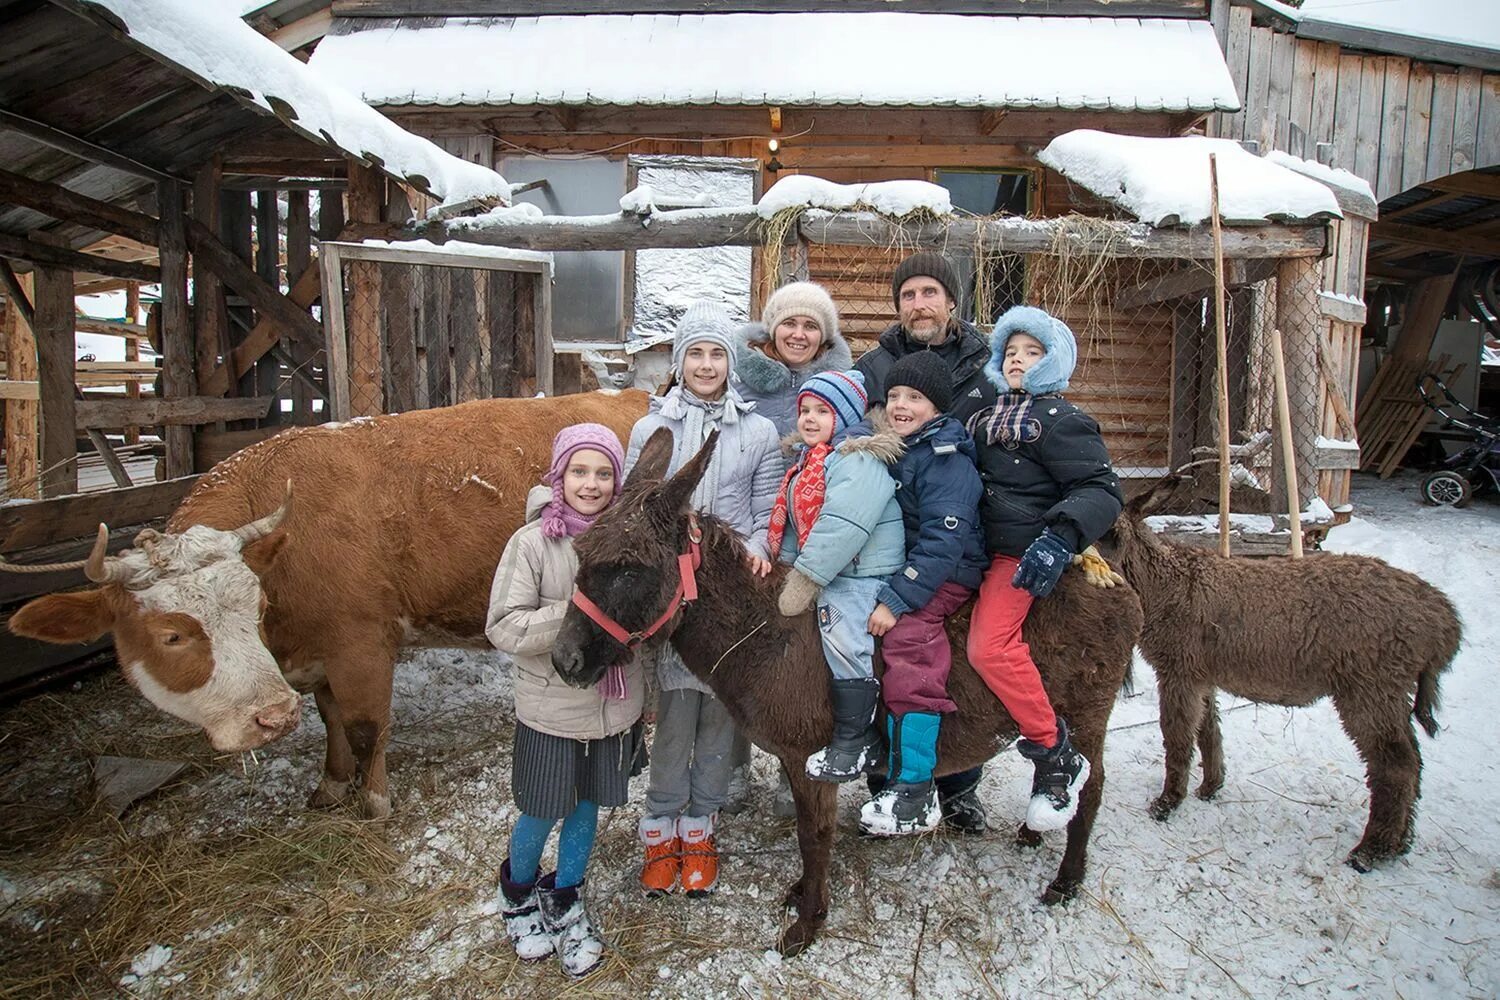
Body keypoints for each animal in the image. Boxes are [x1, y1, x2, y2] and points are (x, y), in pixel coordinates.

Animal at [8, 386, 648, 815]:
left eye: (253, 608)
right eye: (172, 634)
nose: (272, 716)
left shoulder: (360, 643)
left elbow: (366, 725)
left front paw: (373, 801)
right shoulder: (317, 652)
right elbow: (331, 718)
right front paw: (332, 784)